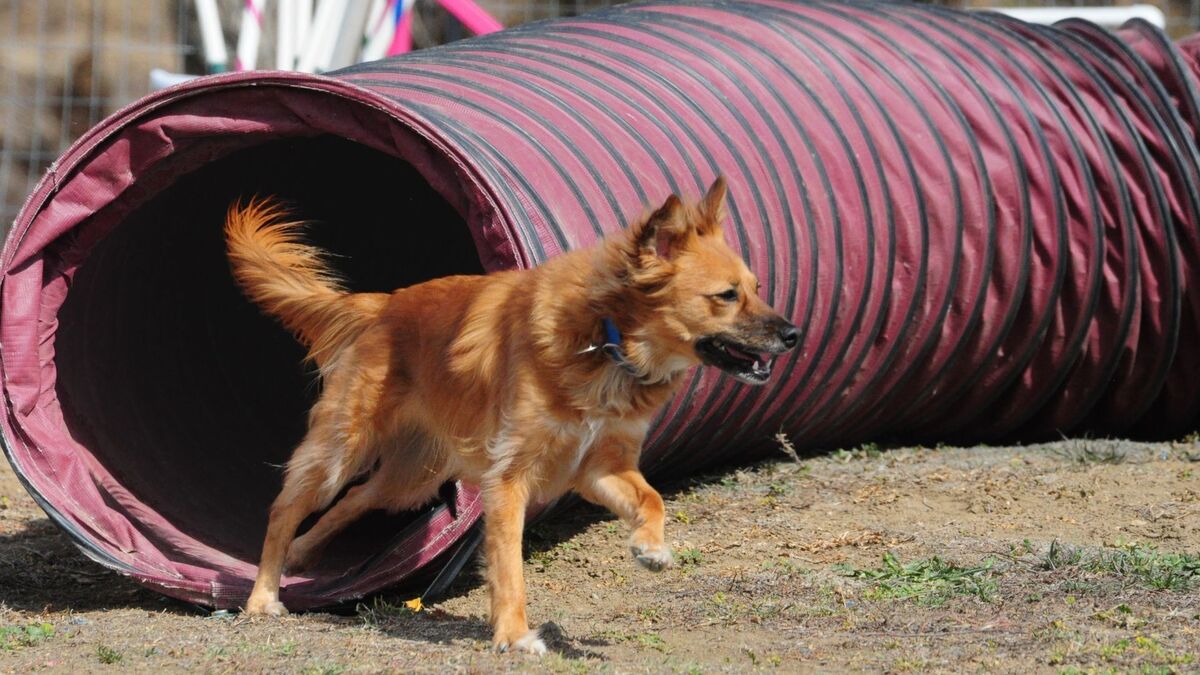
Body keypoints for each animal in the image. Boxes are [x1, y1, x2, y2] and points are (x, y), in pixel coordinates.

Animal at [226, 177, 796, 653]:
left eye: (757, 288)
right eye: (726, 296)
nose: (793, 334)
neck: (608, 341)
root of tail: (382, 305)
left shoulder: (602, 467)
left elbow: (652, 498)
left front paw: (649, 547)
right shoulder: (509, 477)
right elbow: (509, 563)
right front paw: (515, 635)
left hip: (409, 477)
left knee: (353, 500)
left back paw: (303, 553)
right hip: (343, 449)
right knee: (285, 508)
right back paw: (262, 596)